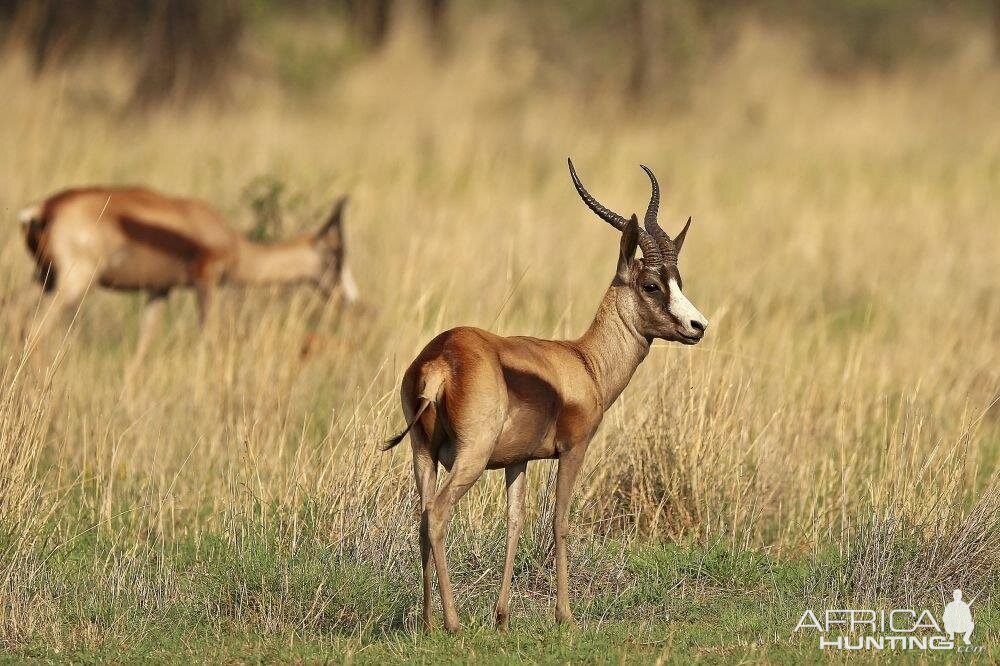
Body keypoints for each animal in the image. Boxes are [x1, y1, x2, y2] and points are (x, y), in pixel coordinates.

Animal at [18, 187, 360, 370]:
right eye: (336, 256)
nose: (349, 297)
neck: (231, 242)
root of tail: (44, 209)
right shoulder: (205, 281)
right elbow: (212, 338)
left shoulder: (160, 290)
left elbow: (143, 347)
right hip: (74, 283)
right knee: (34, 330)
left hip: (43, 278)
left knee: (14, 317)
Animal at [384, 158, 712, 632]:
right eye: (651, 284)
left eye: (677, 280)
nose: (697, 326)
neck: (584, 361)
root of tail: (441, 358)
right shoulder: (574, 449)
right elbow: (559, 521)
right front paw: (565, 616)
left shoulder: (516, 461)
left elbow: (514, 523)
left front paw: (502, 617)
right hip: (469, 457)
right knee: (438, 514)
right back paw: (453, 623)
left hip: (421, 453)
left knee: (421, 519)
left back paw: (428, 622)